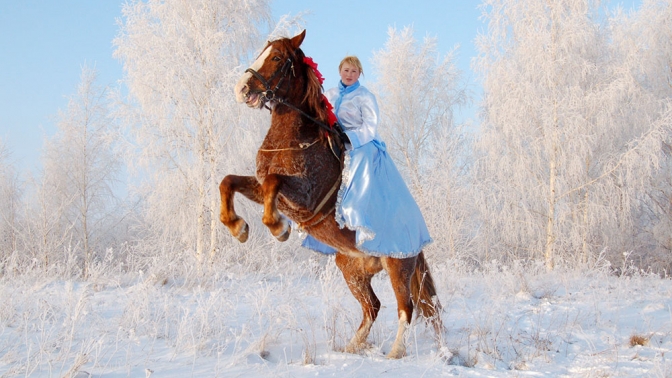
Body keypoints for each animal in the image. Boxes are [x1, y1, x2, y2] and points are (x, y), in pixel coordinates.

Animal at [219, 30, 440, 360]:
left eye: (276, 57)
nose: (241, 88)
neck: (295, 138)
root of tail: (419, 239)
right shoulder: (262, 189)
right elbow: (228, 182)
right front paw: (238, 227)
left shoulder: (304, 195)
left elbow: (273, 182)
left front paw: (278, 228)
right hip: (351, 270)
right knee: (372, 306)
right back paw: (352, 346)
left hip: (397, 265)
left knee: (406, 308)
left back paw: (395, 352)